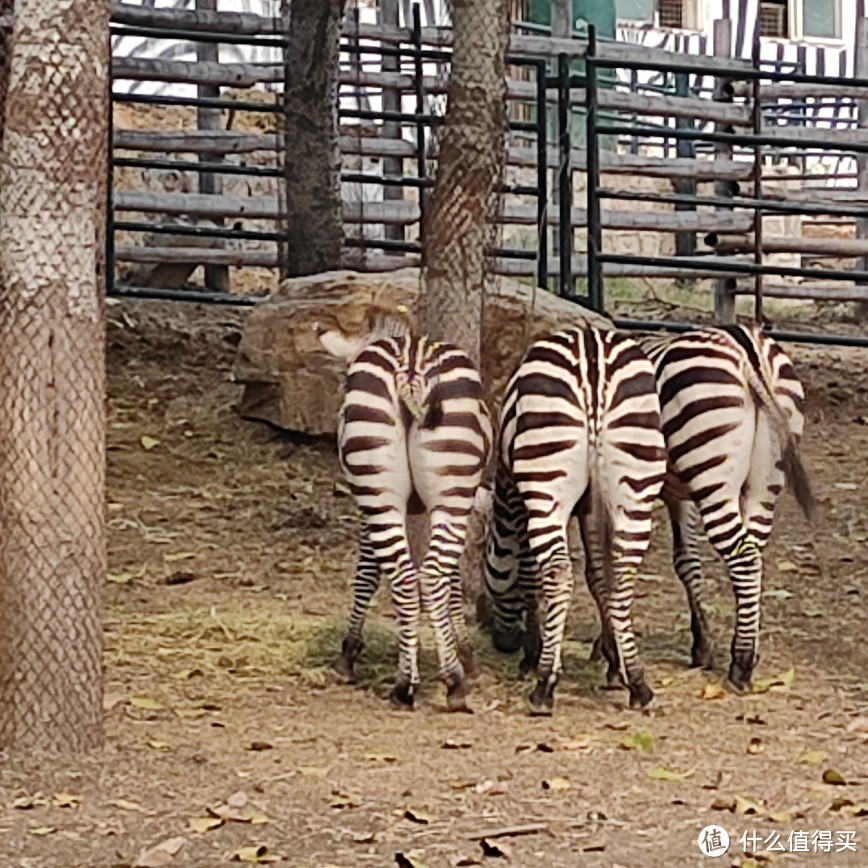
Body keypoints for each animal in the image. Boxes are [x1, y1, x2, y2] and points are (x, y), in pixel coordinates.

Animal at [318, 312, 496, 712]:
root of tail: (411, 366)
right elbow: (447, 580)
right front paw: (462, 655)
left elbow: (369, 572)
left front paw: (349, 655)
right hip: (445, 493)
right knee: (423, 574)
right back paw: (446, 683)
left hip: (381, 492)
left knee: (406, 574)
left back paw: (410, 684)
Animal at [484, 324, 668, 712]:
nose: (503, 644)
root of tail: (592, 353)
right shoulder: (592, 507)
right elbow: (599, 576)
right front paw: (613, 661)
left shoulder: (520, 499)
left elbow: (531, 575)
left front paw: (533, 655)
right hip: (636, 484)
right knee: (623, 574)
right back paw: (638, 683)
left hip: (546, 486)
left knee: (556, 573)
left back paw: (543, 686)